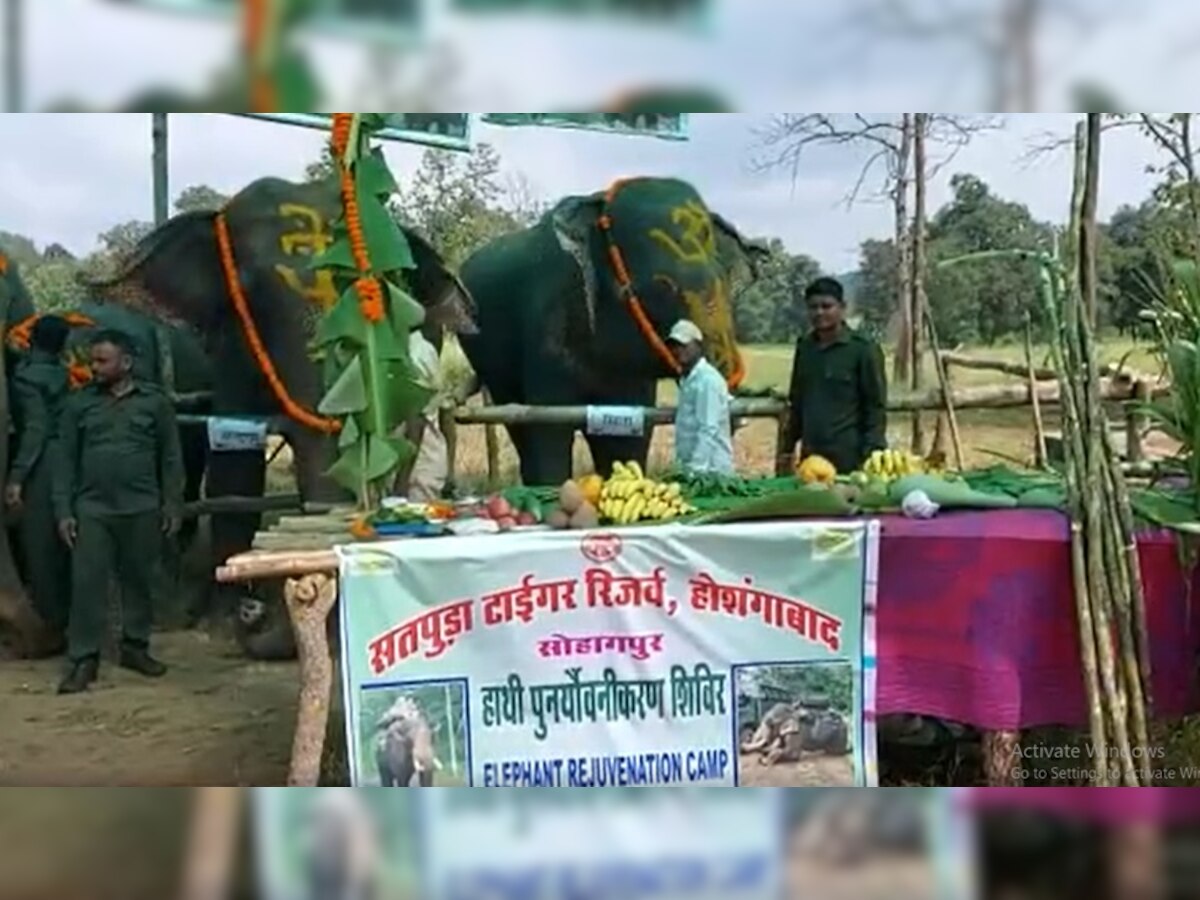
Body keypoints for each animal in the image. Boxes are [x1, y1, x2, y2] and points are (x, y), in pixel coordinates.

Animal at [83, 174, 477, 662]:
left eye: (379, 288)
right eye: (246, 290)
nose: (252, 612)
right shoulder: (230, 349)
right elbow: (234, 463)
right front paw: (222, 623)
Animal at [453, 174, 763, 487]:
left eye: (727, 282)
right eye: (659, 288)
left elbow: (628, 437)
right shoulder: (546, 327)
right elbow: (547, 427)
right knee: (516, 420)